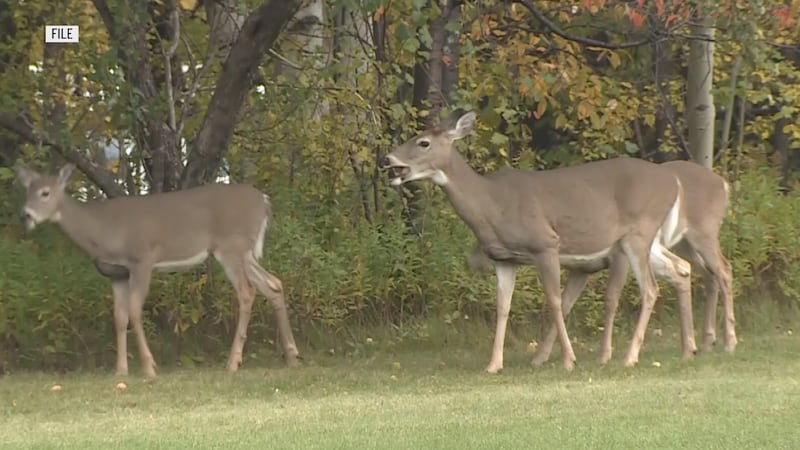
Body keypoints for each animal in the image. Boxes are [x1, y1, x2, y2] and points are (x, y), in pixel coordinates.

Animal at [14, 163, 301, 378]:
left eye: (45, 193)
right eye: (28, 190)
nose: (25, 215)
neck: (102, 232)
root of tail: (264, 201)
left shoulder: (142, 259)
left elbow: (134, 311)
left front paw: (149, 367)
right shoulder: (117, 274)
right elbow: (119, 317)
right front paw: (120, 371)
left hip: (231, 247)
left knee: (247, 291)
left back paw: (232, 363)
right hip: (245, 252)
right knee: (273, 284)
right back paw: (292, 356)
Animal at [379, 110, 693, 372]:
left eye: (423, 142)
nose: (387, 159)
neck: (491, 206)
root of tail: (674, 182)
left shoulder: (546, 244)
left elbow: (554, 301)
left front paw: (568, 360)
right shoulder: (505, 259)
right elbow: (503, 307)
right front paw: (493, 365)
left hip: (637, 234)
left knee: (650, 289)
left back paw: (630, 356)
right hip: (647, 242)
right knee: (679, 269)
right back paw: (686, 350)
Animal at [525, 160, 736, 366]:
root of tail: (723, 184)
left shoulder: (619, 257)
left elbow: (610, 298)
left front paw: (604, 355)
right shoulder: (582, 269)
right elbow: (566, 304)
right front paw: (543, 356)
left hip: (702, 232)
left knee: (723, 269)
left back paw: (728, 342)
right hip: (683, 244)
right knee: (702, 272)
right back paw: (704, 343)